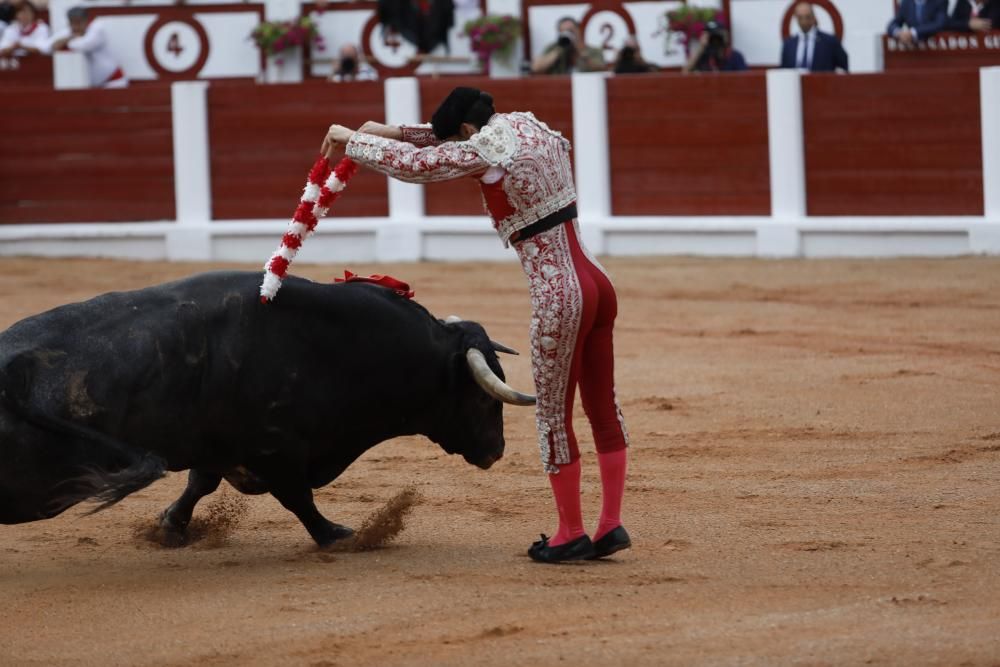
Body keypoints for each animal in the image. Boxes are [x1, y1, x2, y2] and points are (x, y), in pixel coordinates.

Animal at [0, 272, 532, 548]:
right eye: (482, 396)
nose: (497, 450)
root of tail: (11, 371)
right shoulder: (276, 449)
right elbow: (298, 498)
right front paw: (336, 534)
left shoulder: (221, 444)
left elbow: (200, 483)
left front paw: (171, 526)